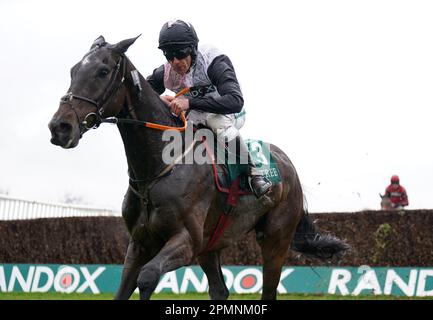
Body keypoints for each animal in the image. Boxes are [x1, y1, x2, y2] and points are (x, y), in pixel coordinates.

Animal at [48, 35, 348, 300]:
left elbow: (147, 277)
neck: (158, 168)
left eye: (103, 71)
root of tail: (290, 167)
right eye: (73, 70)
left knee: (269, 289)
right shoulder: (140, 242)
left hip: (275, 239)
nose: (59, 127)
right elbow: (124, 288)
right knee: (220, 290)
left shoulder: (187, 241)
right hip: (211, 244)